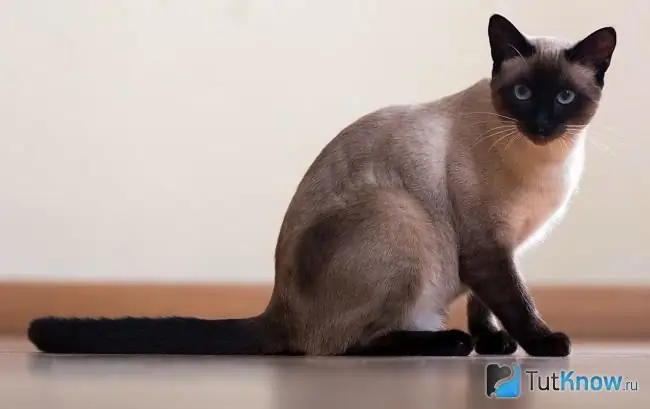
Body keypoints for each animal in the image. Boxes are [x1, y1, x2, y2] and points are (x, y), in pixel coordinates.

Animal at [26, 14, 612, 356]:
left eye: (564, 98)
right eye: (522, 94)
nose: (542, 124)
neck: (547, 162)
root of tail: (277, 311)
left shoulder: (500, 248)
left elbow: (485, 304)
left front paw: (497, 346)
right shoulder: (486, 246)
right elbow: (514, 301)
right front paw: (543, 344)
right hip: (404, 220)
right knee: (338, 346)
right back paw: (447, 343)